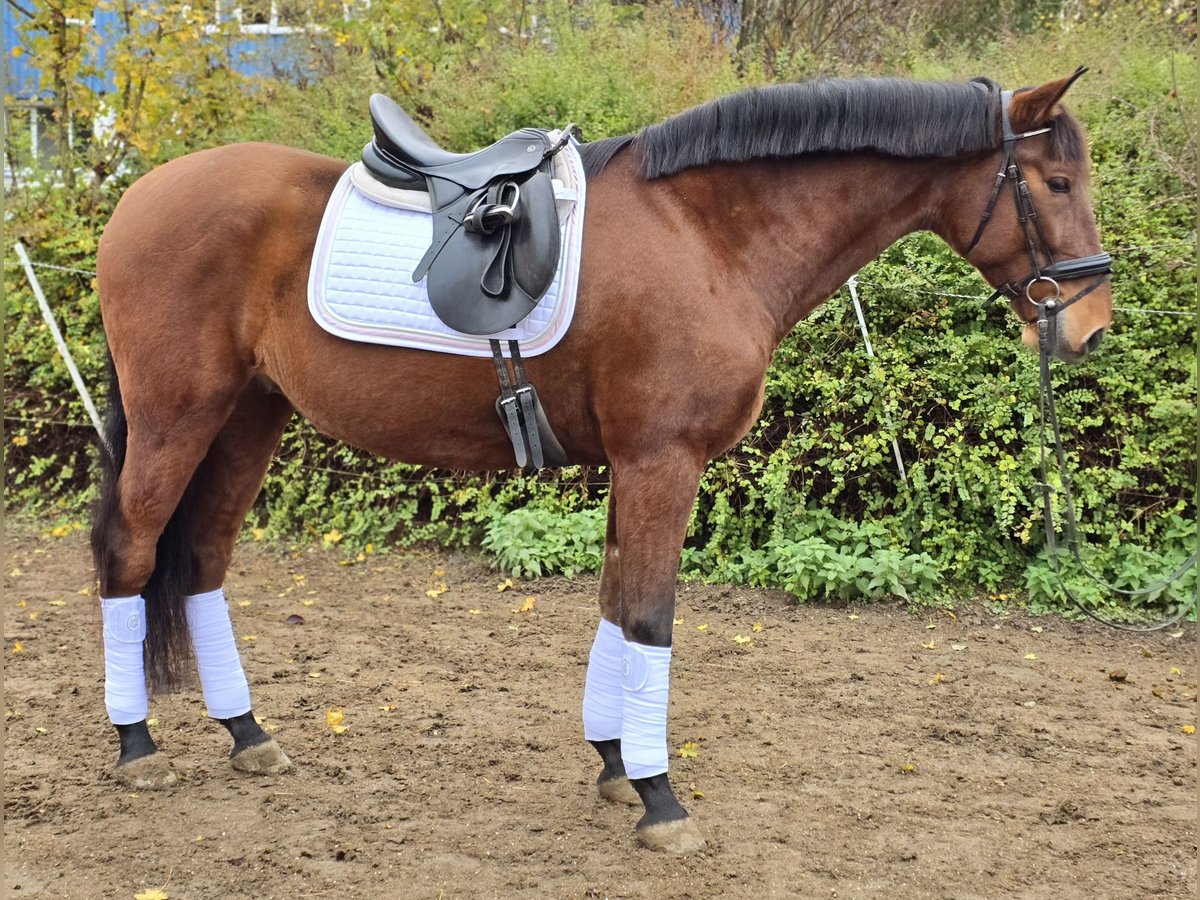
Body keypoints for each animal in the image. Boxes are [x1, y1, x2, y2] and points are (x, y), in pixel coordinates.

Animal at [88, 70, 1108, 854]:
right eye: (1057, 182)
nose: (1091, 328)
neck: (706, 234)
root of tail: (137, 196)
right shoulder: (664, 460)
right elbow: (651, 615)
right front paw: (661, 799)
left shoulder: (635, 463)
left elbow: (617, 604)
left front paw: (617, 765)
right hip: (178, 417)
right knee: (130, 554)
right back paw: (137, 748)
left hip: (248, 419)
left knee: (202, 561)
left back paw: (246, 734)